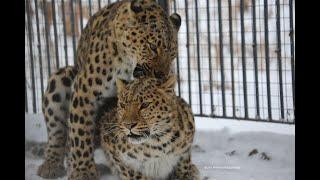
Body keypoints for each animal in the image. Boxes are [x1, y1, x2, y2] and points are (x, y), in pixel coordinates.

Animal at [37, 0, 182, 179]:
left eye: (173, 54)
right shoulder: (85, 90)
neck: (128, 65)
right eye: (152, 46)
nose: (162, 75)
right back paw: (52, 165)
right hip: (61, 78)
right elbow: (80, 130)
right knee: (58, 136)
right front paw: (82, 171)